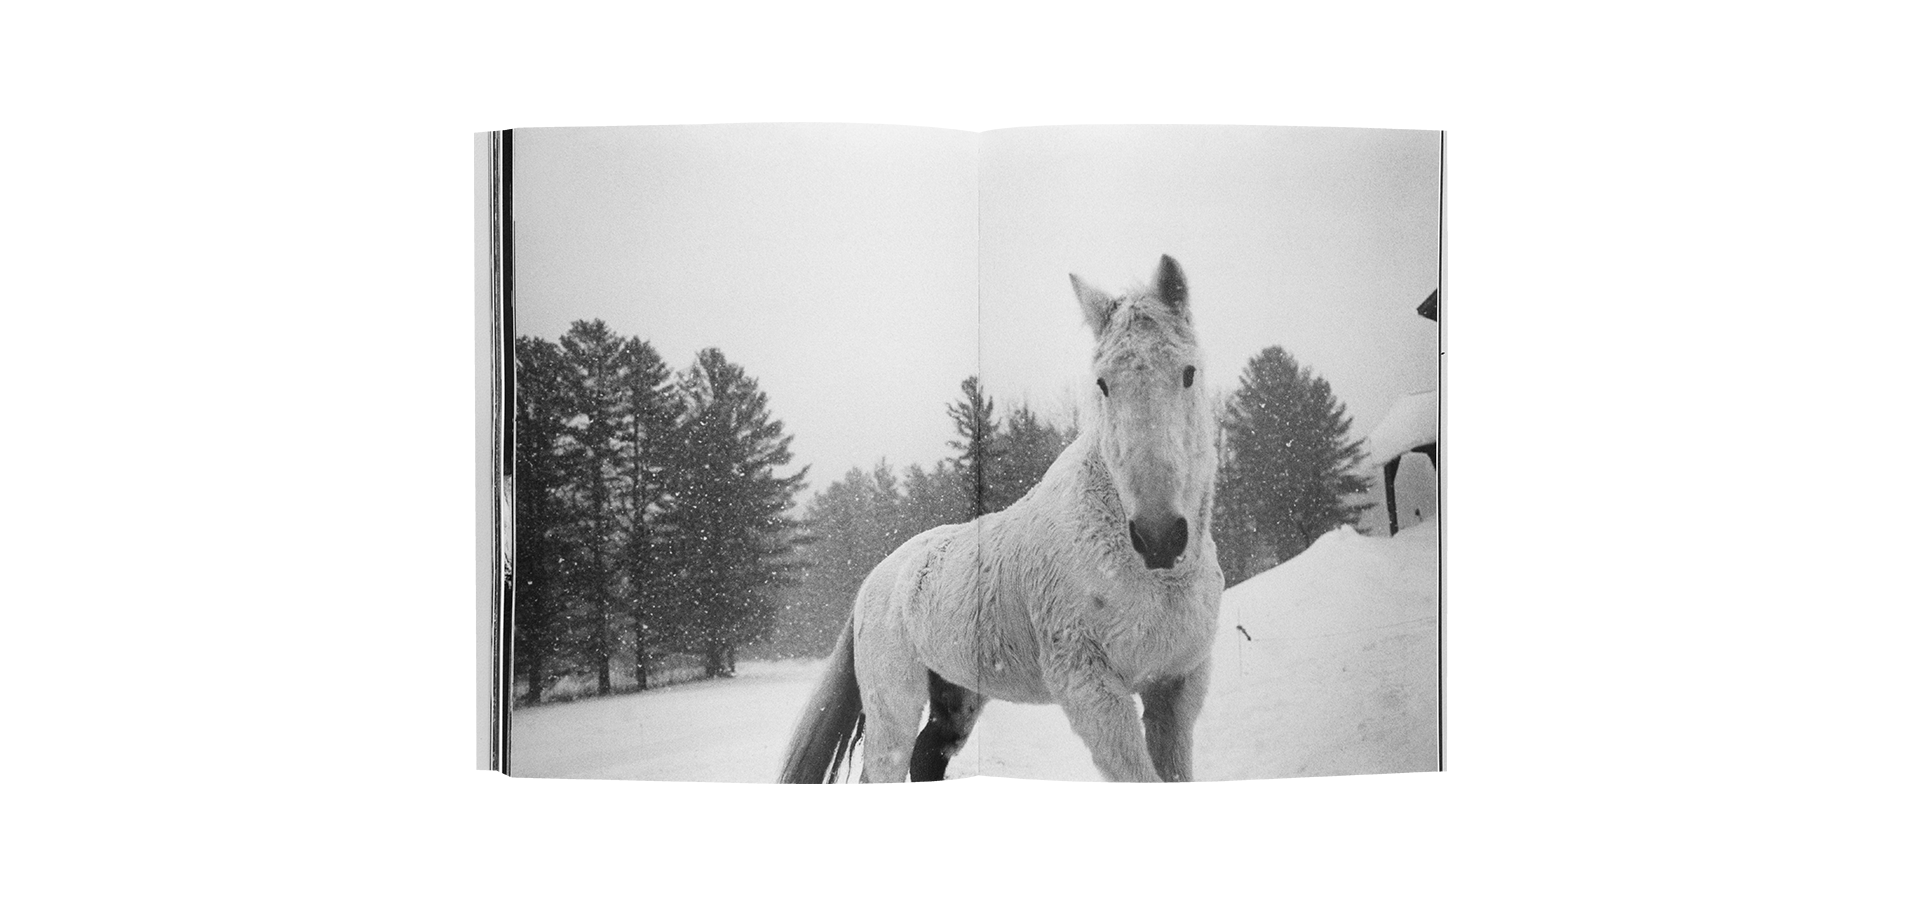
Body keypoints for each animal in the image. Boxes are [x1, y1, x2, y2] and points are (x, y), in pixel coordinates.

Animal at [778, 255, 1223, 783]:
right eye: (1102, 384)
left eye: (1188, 372)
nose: (1159, 536)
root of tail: (877, 578)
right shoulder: (1094, 696)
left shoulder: (1176, 690)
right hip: (893, 706)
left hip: (957, 694)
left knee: (928, 755)